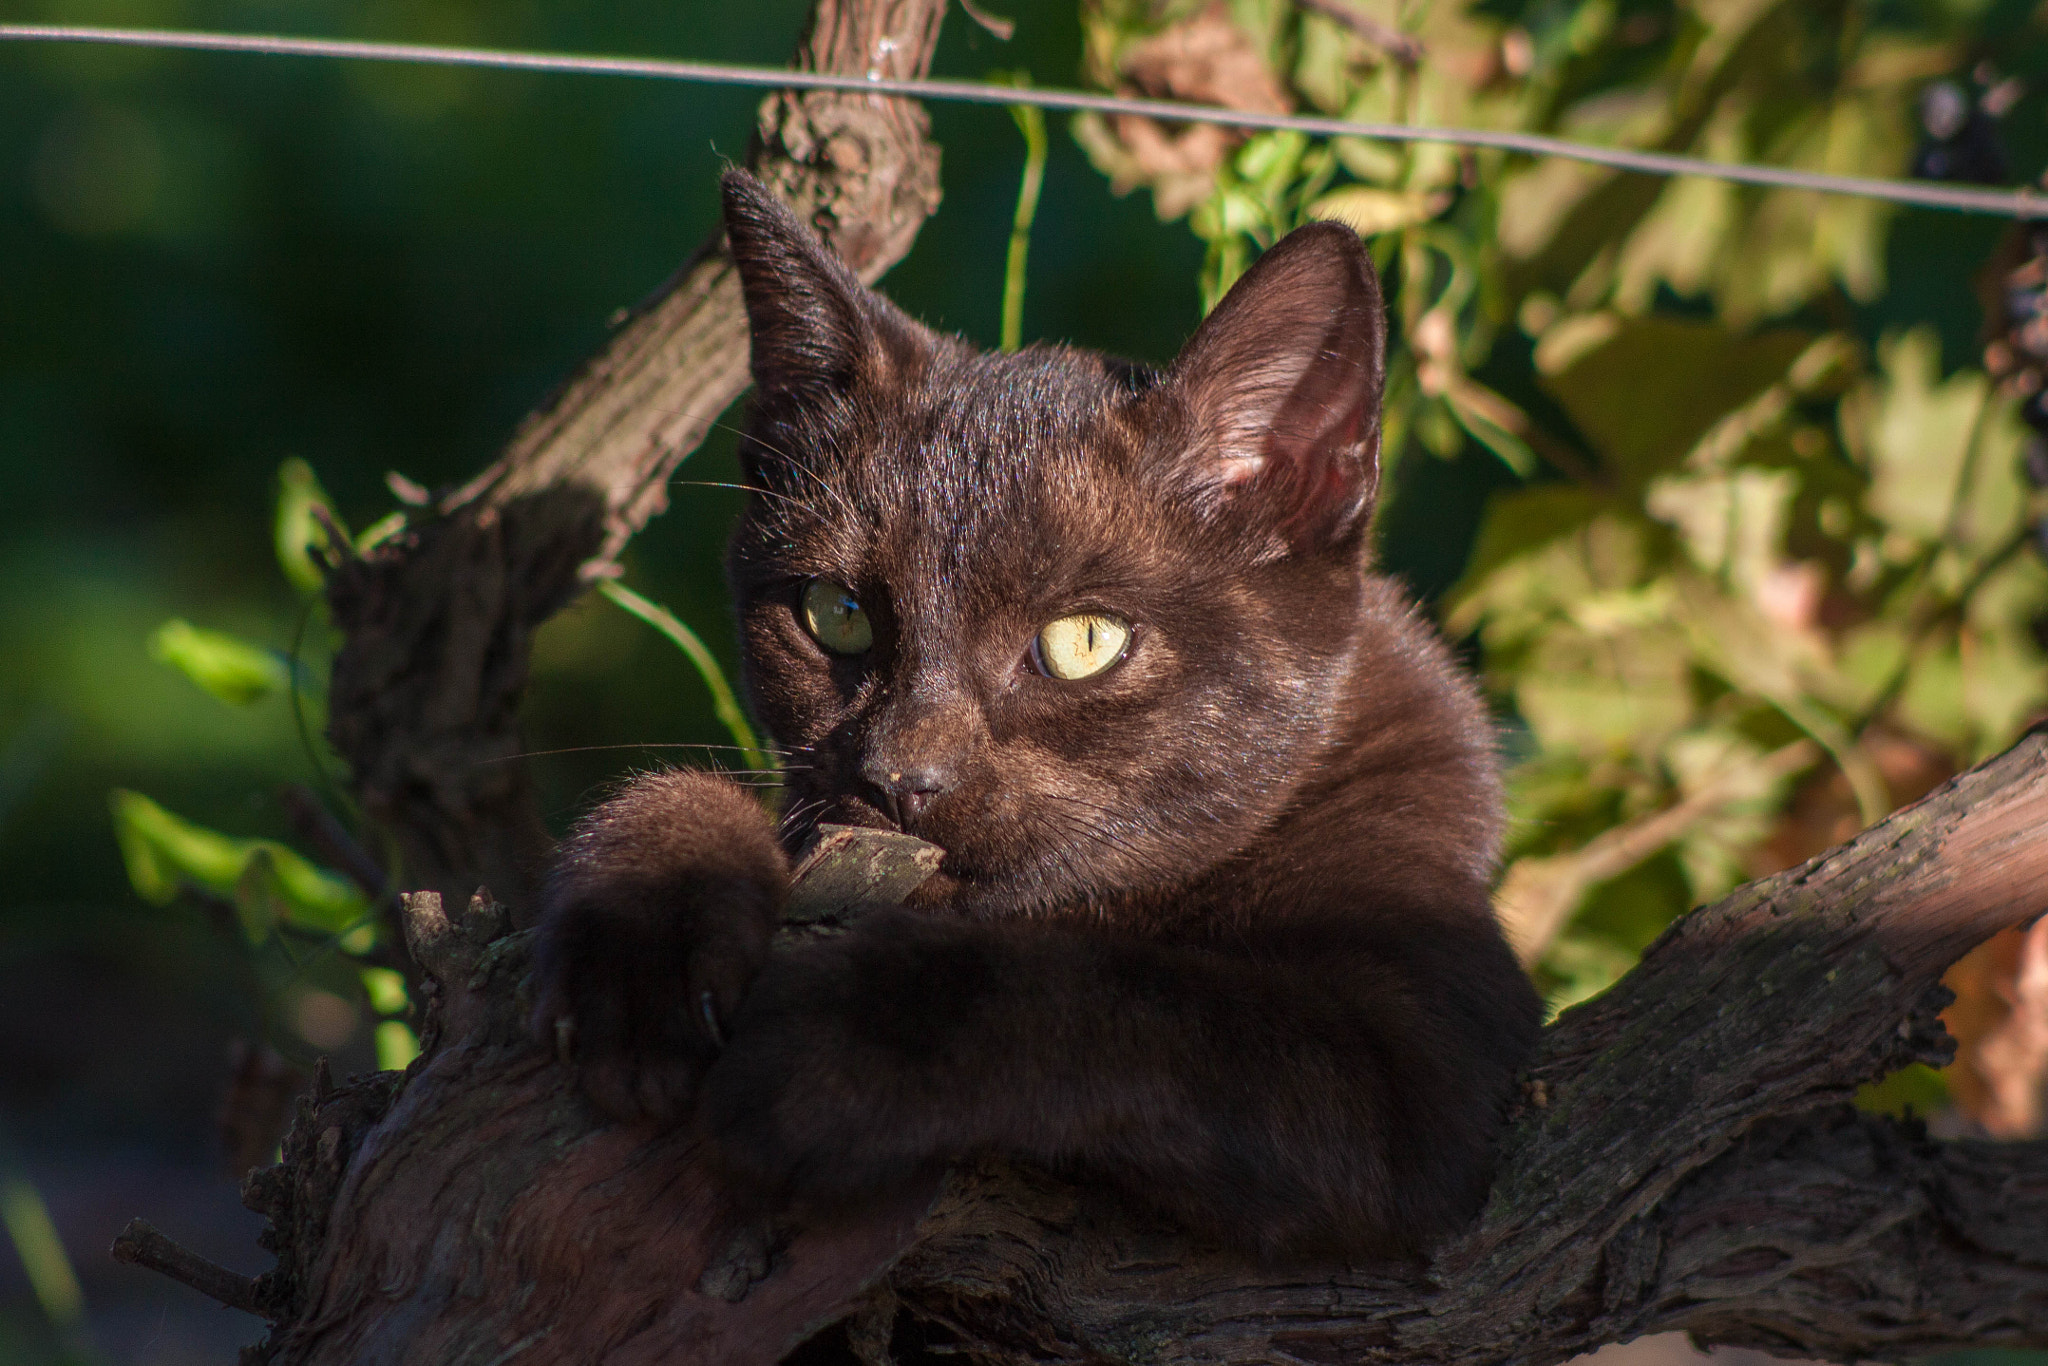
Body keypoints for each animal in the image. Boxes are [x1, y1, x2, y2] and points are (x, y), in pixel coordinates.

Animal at [528, 171, 1540, 1261]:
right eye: (836, 614)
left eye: (1084, 640)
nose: (900, 776)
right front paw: (650, 929)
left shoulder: (1417, 1061)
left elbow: (1137, 999)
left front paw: (834, 1048)